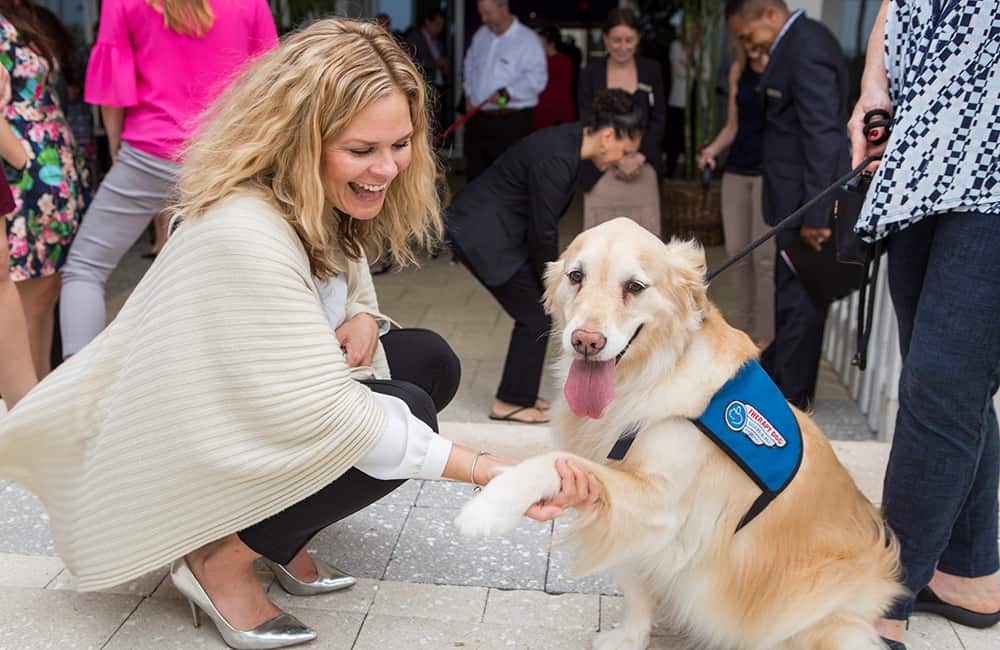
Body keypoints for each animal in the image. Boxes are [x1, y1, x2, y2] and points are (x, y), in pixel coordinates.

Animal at [458, 219, 904, 648]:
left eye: (634, 287)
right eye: (576, 276)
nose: (586, 341)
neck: (649, 376)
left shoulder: (661, 500)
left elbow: (549, 461)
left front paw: (489, 507)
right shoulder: (635, 517)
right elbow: (636, 582)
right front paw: (630, 638)